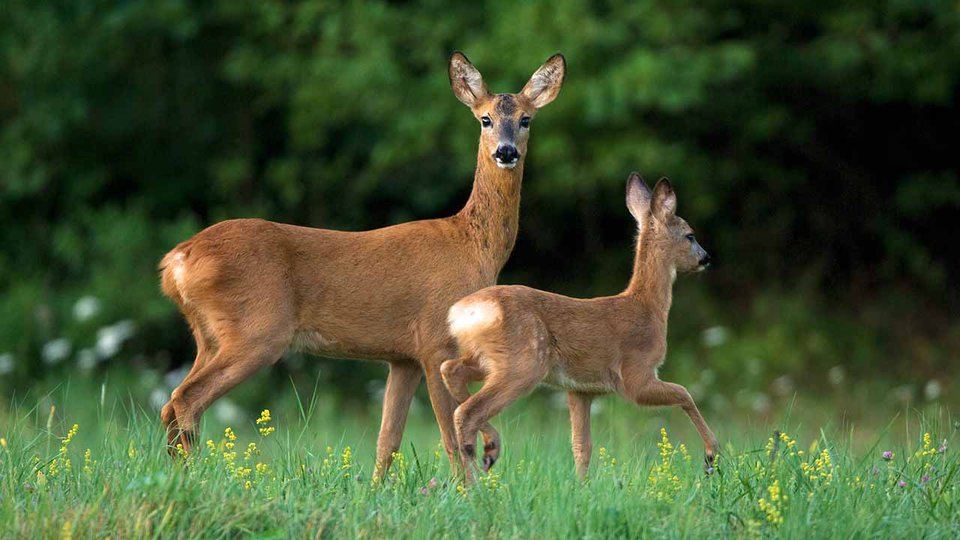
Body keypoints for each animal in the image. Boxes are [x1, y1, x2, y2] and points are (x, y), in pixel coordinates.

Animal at [158, 52, 564, 478]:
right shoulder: (435, 339)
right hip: (257, 330)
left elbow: (388, 442)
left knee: (172, 403)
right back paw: (193, 476)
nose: (506, 151)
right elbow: (451, 438)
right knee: (186, 398)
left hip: (208, 334)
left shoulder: (403, 356)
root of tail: (177, 260)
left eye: (526, 119)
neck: (471, 246)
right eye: (485, 119)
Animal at [446, 174, 716, 480]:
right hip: (522, 362)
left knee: (450, 371)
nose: (706, 258)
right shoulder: (635, 374)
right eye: (690, 235)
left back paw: (487, 450)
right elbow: (685, 393)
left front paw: (582, 485)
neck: (649, 309)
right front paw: (711, 456)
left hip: (489, 358)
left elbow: (581, 446)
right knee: (466, 412)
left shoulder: (580, 390)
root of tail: (462, 311)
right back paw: (476, 479)